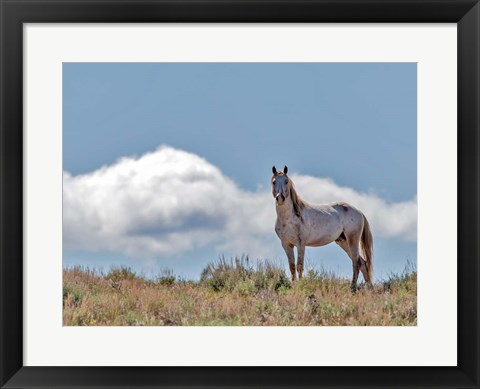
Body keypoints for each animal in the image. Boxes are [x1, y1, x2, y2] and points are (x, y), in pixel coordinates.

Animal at [272, 164, 374, 292]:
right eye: (274, 181)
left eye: (286, 181)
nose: (280, 198)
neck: (289, 218)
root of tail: (359, 212)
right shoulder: (286, 244)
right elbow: (292, 266)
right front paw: (294, 285)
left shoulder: (301, 244)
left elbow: (299, 266)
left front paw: (300, 285)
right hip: (343, 242)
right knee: (363, 263)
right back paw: (369, 289)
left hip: (353, 240)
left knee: (356, 263)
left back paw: (352, 288)